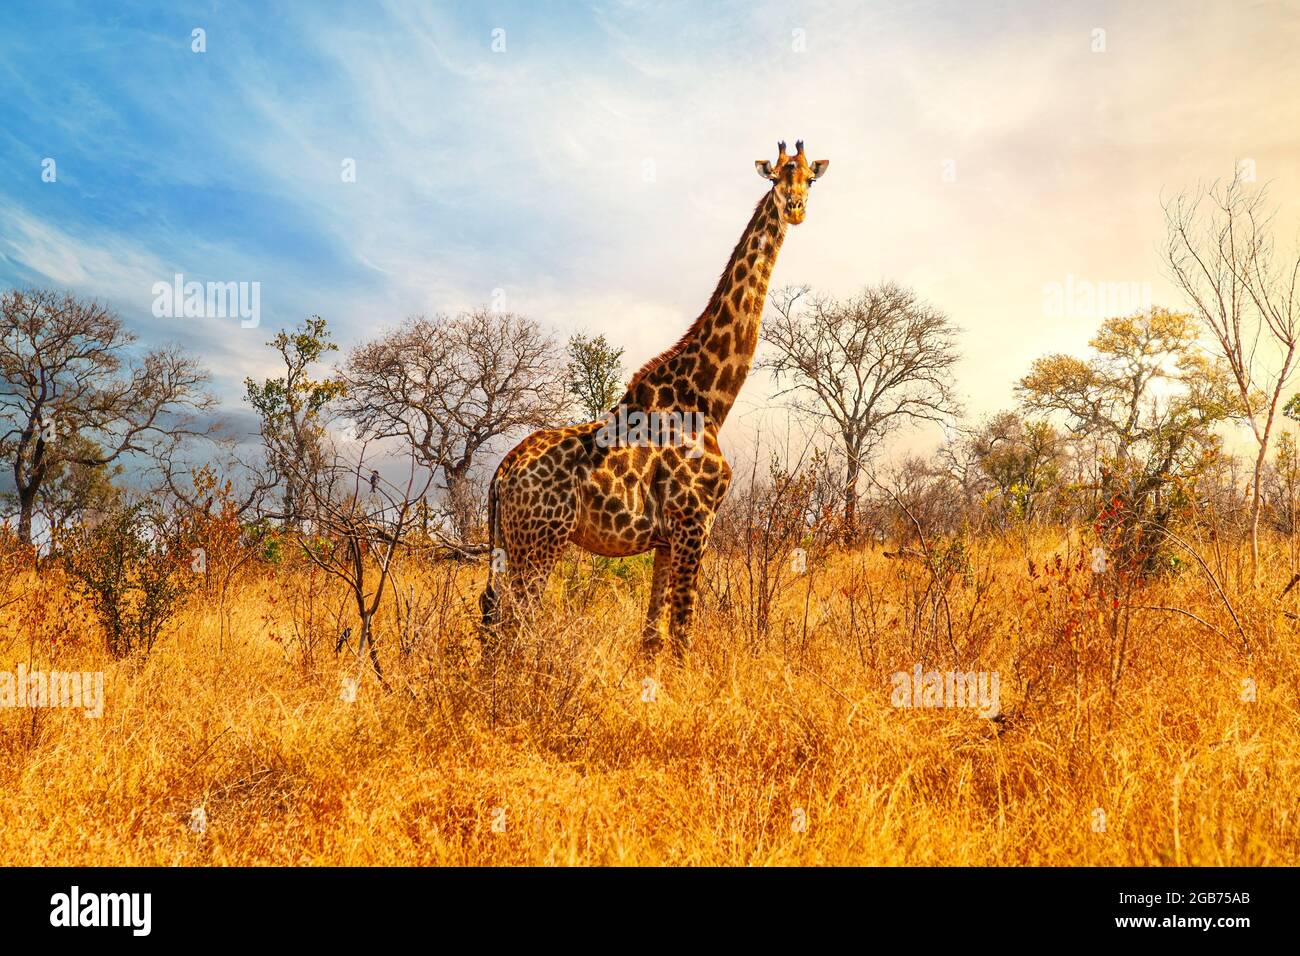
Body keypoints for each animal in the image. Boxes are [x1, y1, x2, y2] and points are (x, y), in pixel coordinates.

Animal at [480, 140, 832, 658]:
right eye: (776, 178)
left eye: (809, 178)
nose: (796, 208)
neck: (708, 398)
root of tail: (502, 473)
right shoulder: (694, 520)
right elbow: (683, 630)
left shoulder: (668, 538)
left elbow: (653, 636)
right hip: (540, 541)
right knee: (515, 621)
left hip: (508, 542)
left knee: (491, 611)